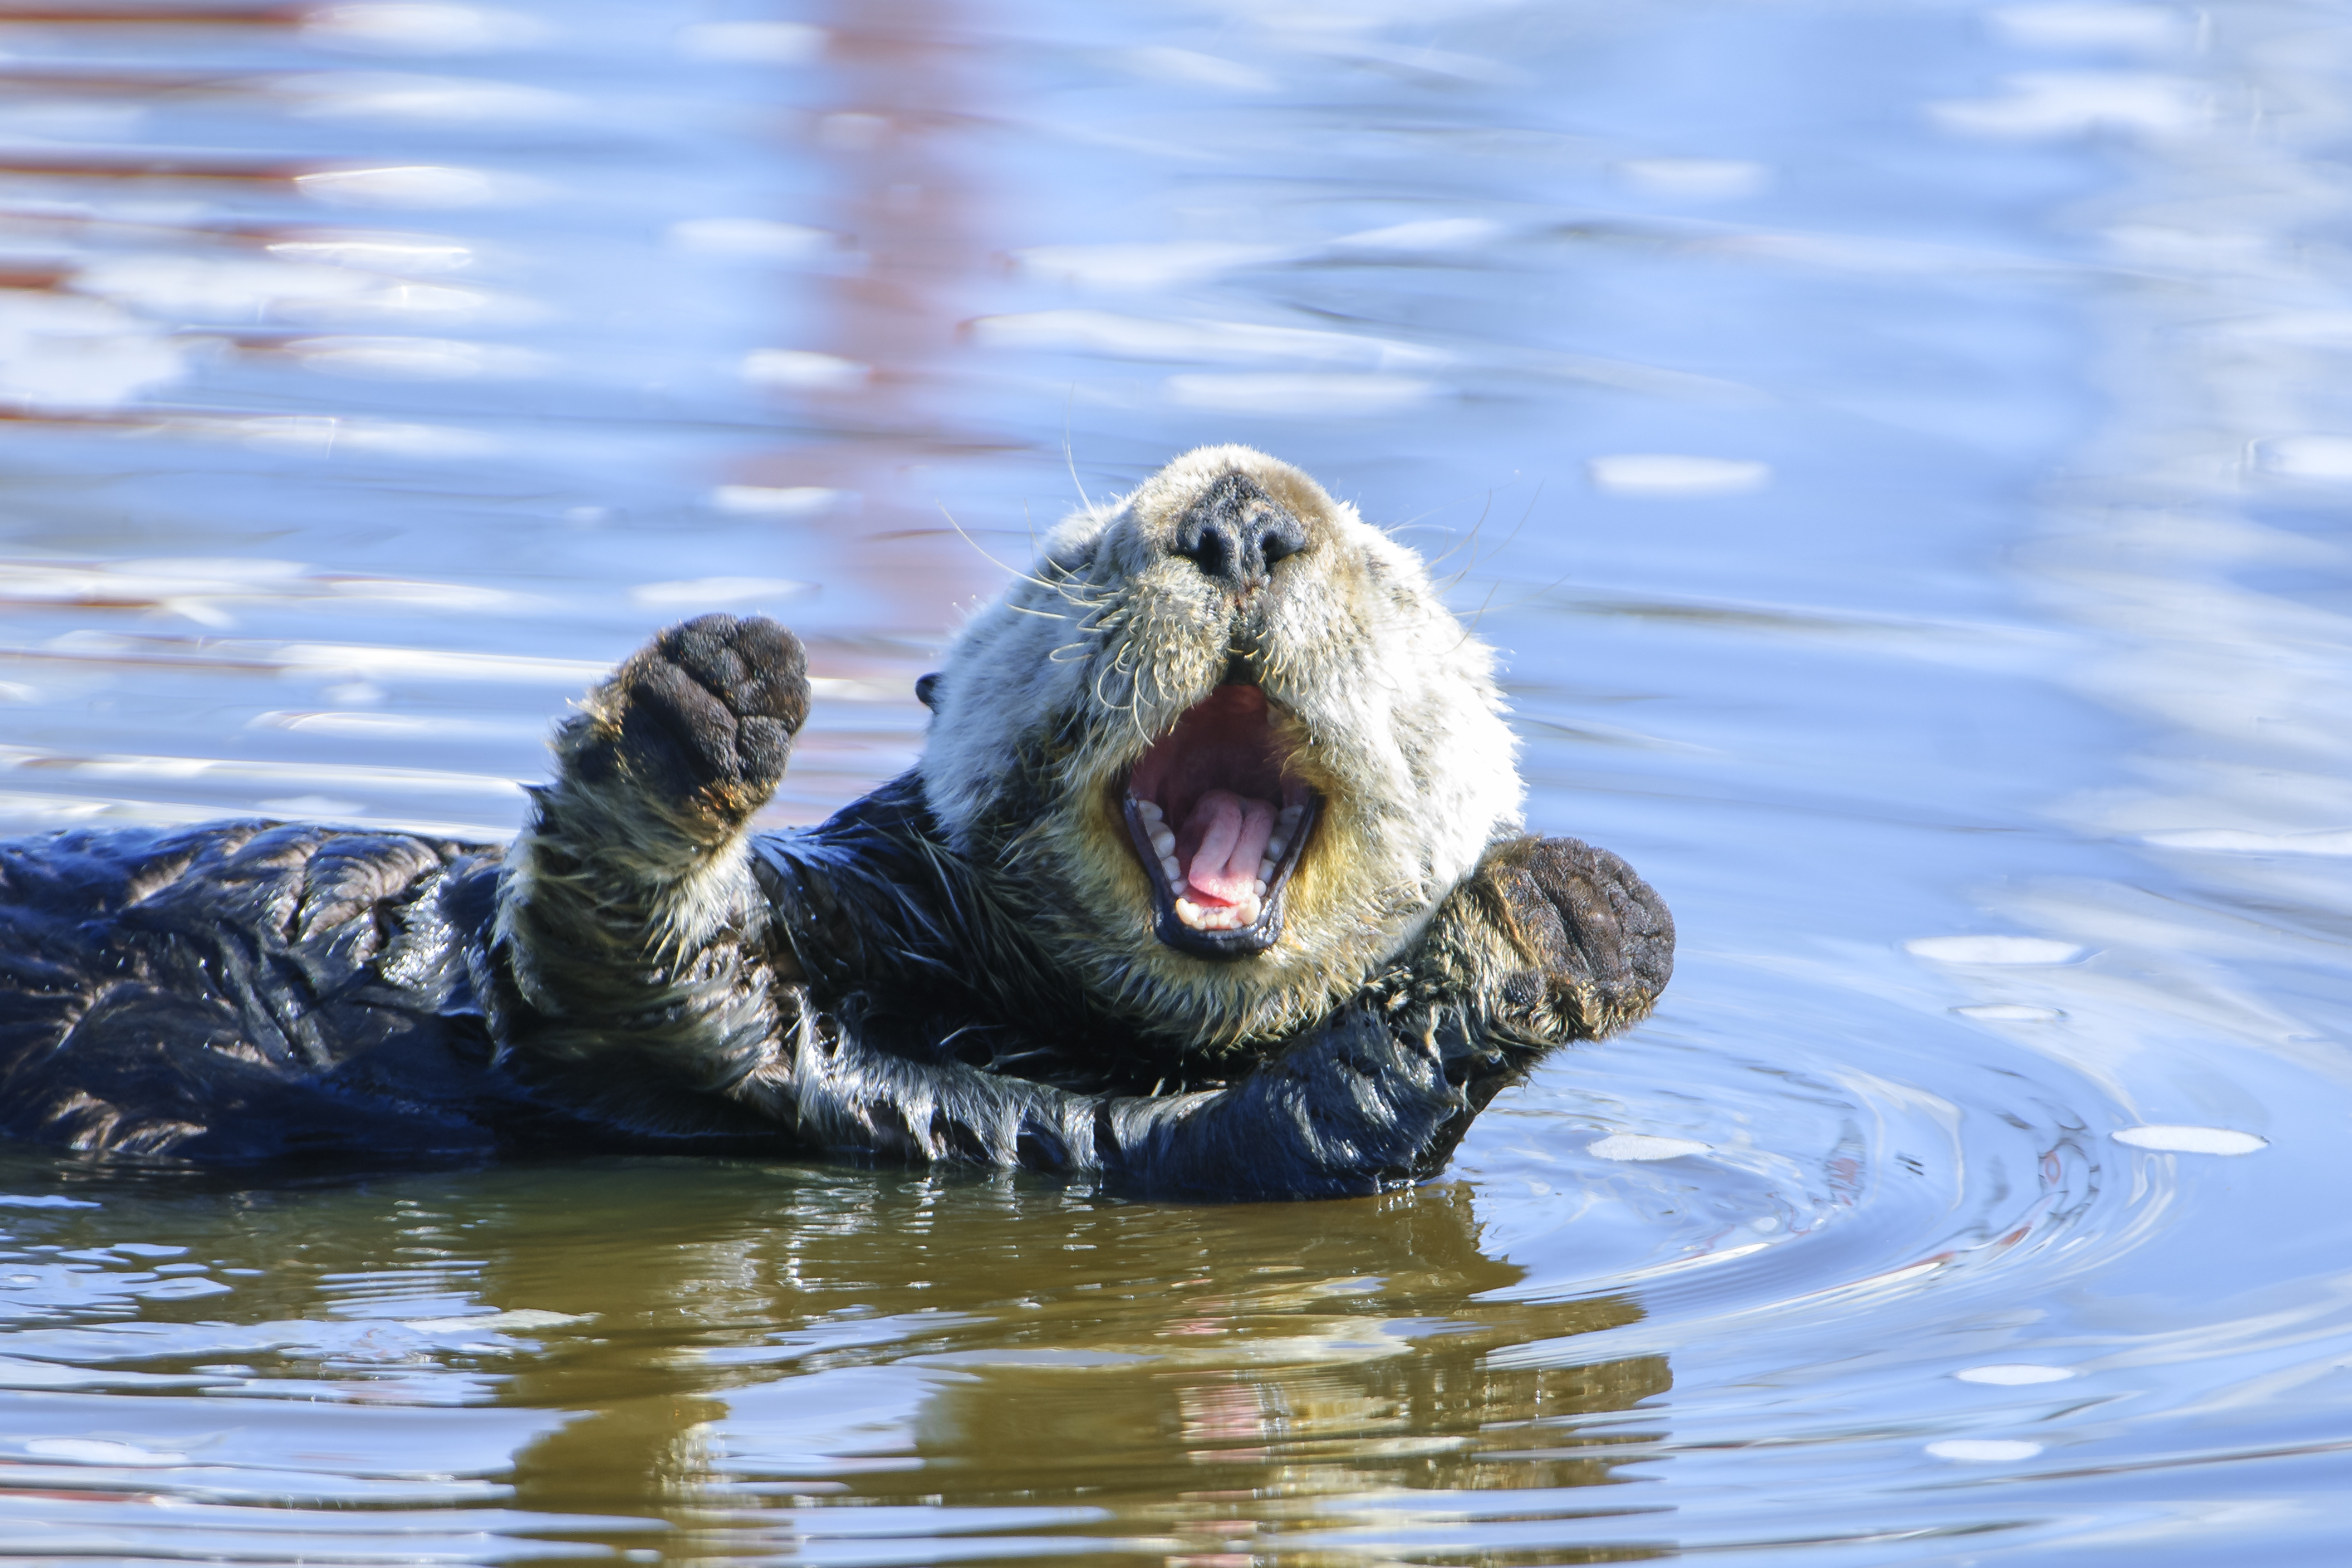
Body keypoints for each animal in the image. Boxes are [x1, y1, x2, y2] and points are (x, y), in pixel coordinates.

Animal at [0, 446, 1674, 1194]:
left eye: (1392, 582)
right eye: (1074, 556)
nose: (1243, 522)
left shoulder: (1045, 1132)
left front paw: (1559, 925)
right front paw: (703, 705)